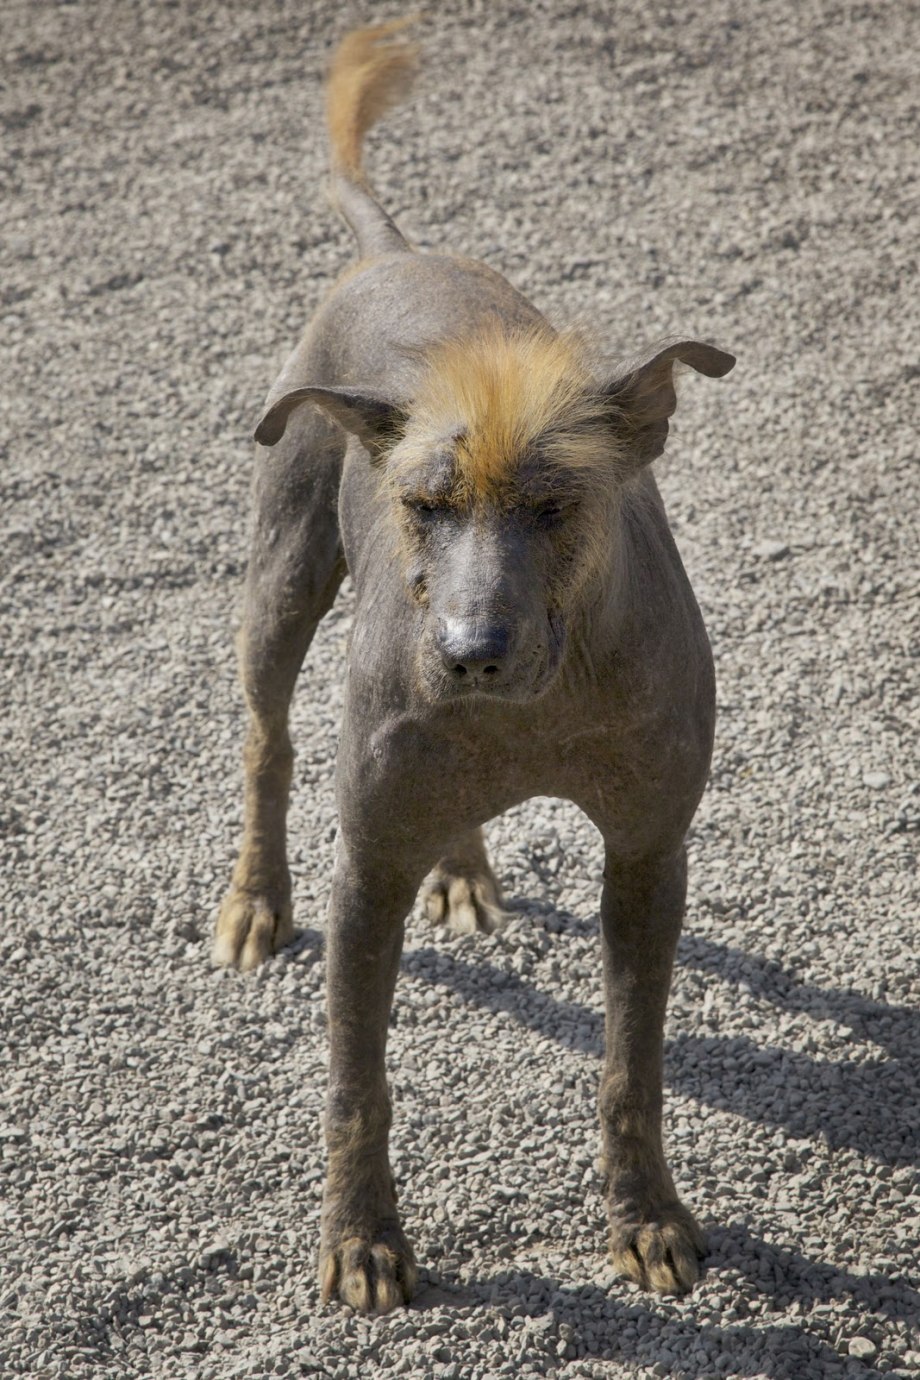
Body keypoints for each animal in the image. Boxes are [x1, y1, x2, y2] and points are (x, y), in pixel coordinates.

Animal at [213, 21, 733, 1313]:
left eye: (554, 507)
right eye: (421, 507)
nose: (465, 655)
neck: (533, 704)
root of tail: (395, 251)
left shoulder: (647, 855)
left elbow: (631, 1068)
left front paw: (644, 1217)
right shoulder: (365, 872)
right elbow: (355, 1084)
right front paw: (360, 1239)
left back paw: (461, 869)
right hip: (281, 582)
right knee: (264, 740)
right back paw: (254, 900)